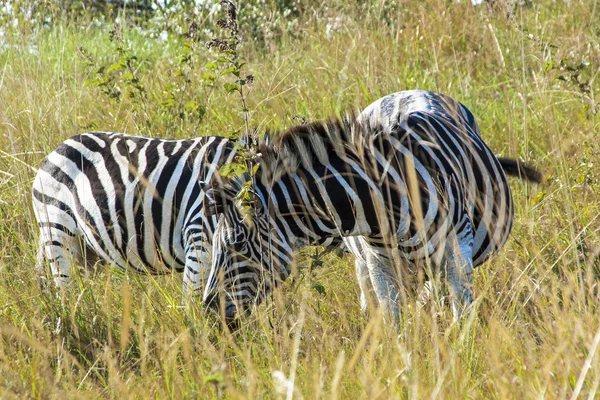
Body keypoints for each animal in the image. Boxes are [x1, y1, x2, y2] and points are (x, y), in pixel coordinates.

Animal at [32, 133, 239, 298]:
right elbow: (193, 301)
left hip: (86, 250)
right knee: (65, 290)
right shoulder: (199, 235)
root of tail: (58, 148)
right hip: (57, 231)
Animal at [203, 90, 544, 322]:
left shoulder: (456, 246)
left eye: (236, 246)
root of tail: (404, 92)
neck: (383, 199)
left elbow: (461, 312)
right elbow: (394, 323)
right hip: (369, 264)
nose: (208, 312)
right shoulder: (378, 261)